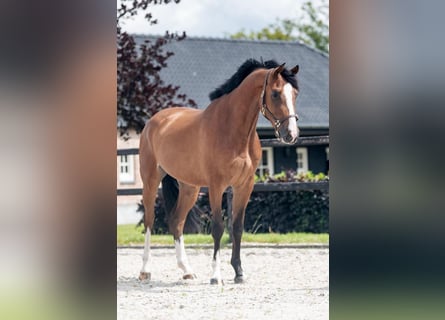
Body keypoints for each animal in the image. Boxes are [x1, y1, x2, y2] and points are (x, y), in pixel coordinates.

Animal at [138, 58, 298, 284]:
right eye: (275, 93)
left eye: (295, 94)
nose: (291, 134)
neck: (232, 129)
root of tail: (153, 121)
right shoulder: (216, 186)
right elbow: (218, 228)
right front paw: (215, 275)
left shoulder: (244, 186)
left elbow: (237, 227)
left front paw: (239, 272)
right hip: (151, 181)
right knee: (149, 221)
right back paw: (145, 270)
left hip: (190, 188)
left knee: (176, 222)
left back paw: (187, 270)